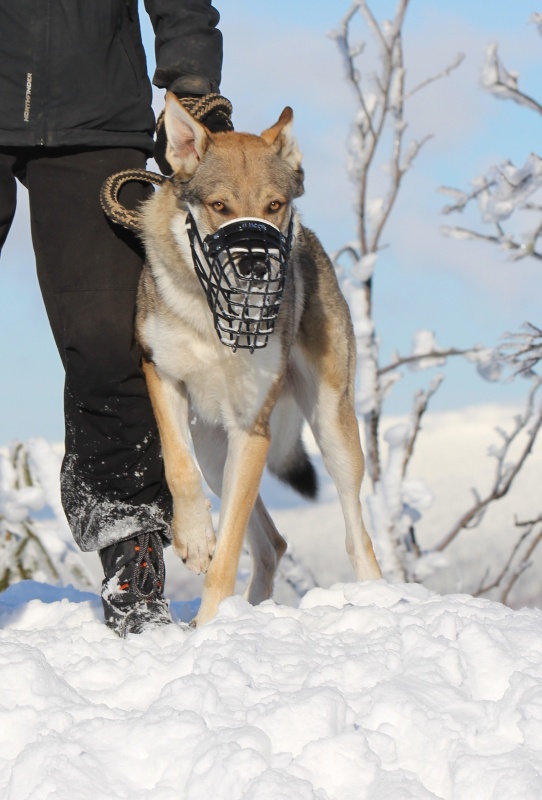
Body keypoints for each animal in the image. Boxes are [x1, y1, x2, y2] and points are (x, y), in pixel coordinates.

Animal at [136, 92, 382, 624]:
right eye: (219, 206)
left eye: (274, 205)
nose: (255, 262)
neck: (216, 318)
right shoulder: (161, 375)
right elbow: (178, 469)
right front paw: (194, 541)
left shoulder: (253, 428)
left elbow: (229, 553)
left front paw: (209, 628)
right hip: (215, 450)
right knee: (272, 542)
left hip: (333, 431)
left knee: (357, 537)